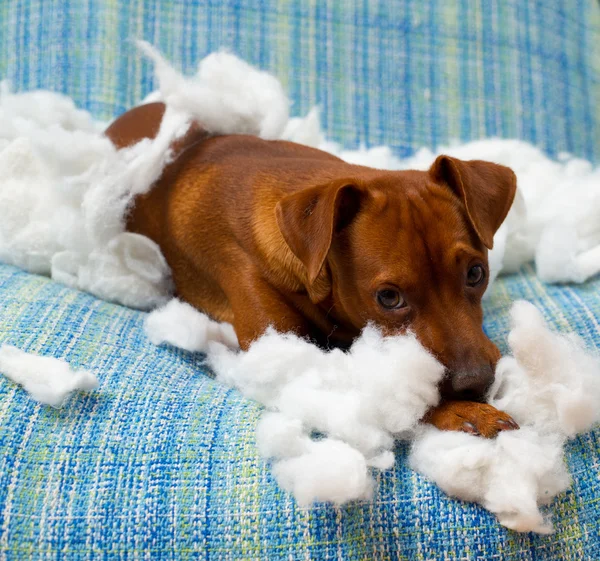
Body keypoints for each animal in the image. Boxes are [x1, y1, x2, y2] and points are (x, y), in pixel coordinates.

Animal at [106, 103, 520, 440]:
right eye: (388, 297)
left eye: (476, 274)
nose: (476, 384)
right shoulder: (279, 347)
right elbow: (392, 390)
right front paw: (466, 412)